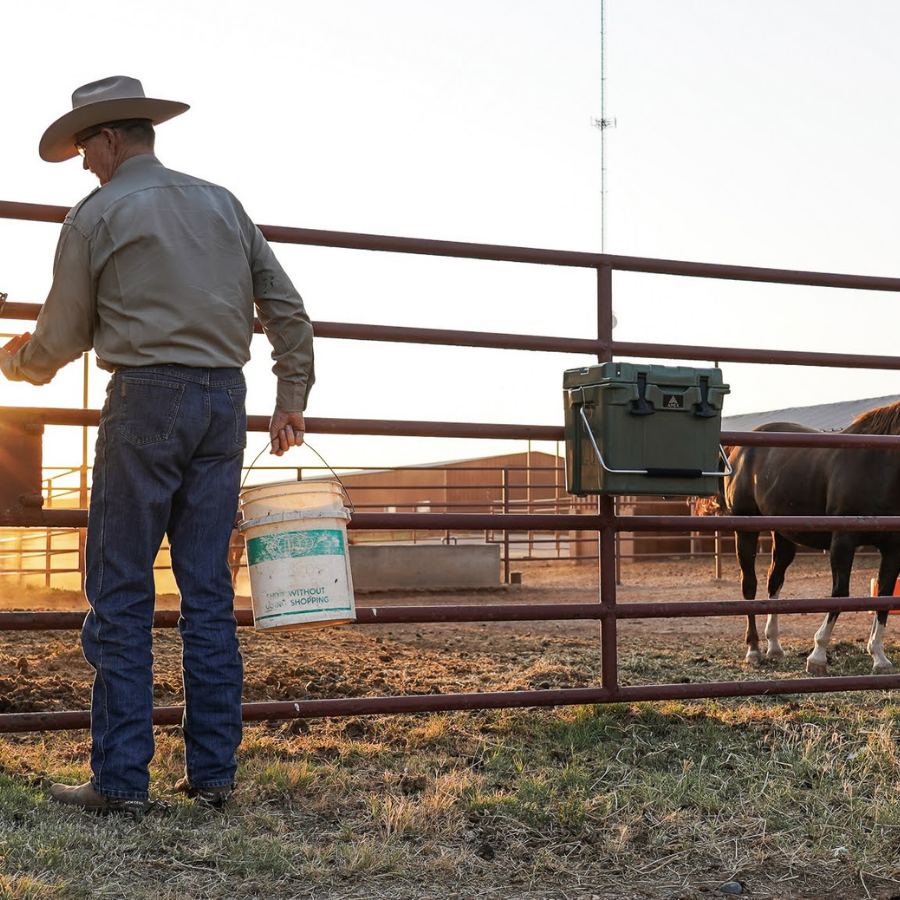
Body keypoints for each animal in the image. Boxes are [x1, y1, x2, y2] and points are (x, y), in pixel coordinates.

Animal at [720, 402, 900, 676]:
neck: (878, 466)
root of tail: (739, 450)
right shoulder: (843, 540)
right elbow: (840, 594)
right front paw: (817, 655)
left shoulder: (893, 548)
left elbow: (884, 597)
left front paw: (878, 656)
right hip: (745, 529)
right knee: (749, 584)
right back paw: (754, 650)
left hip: (783, 535)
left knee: (774, 581)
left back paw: (774, 646)